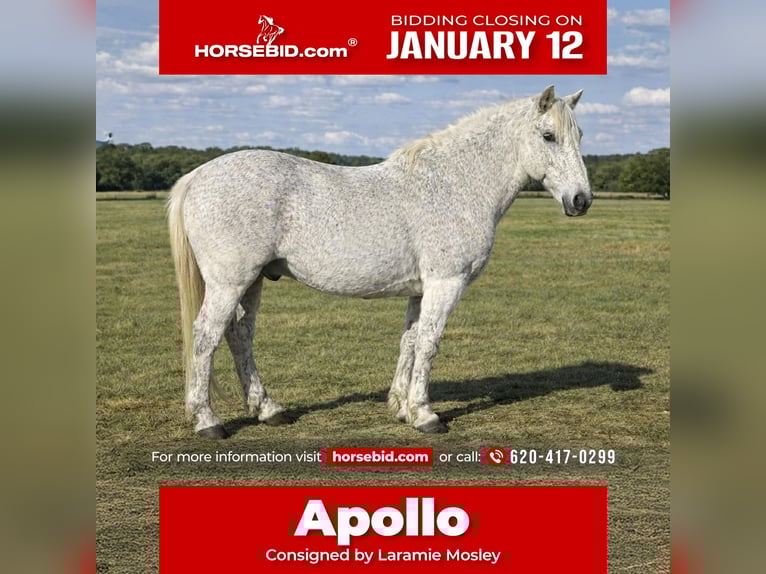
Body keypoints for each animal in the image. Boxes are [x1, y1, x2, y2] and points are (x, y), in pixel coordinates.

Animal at [168, 85, 592, 438]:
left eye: (580, 136)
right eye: (548, 135)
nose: (581, 200)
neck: (455, 185)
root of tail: (197, 176)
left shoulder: (421, 290)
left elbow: (410, 341)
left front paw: (402, 408)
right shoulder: (446, 283)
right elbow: (429, 344)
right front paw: (426, 415)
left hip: (252, 281)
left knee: (239, 335)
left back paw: (268, 410)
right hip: (229, 282)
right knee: (206, 337)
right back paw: (208, 421)